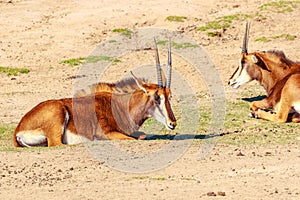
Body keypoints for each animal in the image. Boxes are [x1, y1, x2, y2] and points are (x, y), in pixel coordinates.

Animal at [14, 39, 177, 147]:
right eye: (156, 97)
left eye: (169, 96)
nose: (172, 123)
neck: (120, 106)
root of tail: (18, 128)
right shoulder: (107, 133)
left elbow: (142, 136)